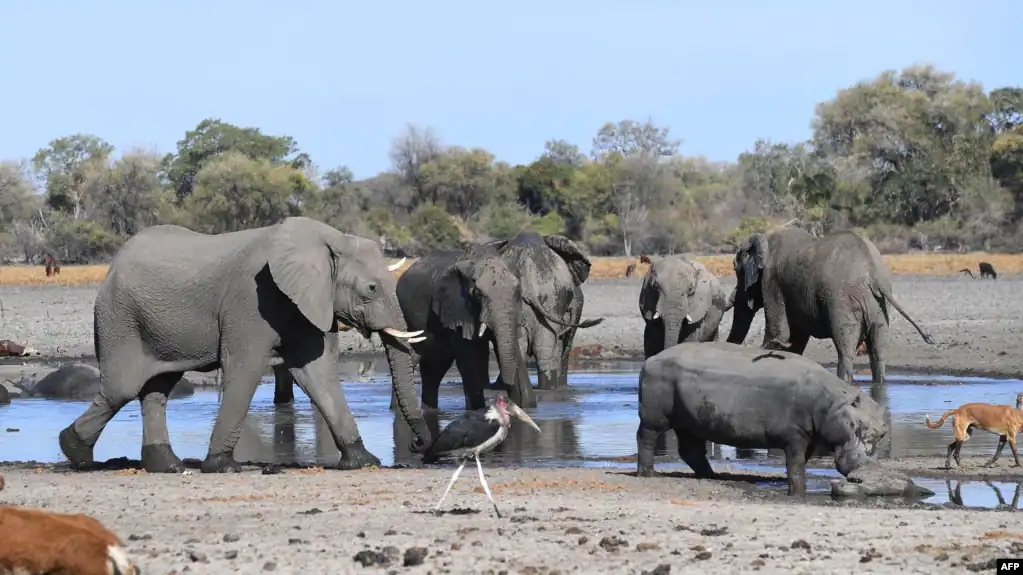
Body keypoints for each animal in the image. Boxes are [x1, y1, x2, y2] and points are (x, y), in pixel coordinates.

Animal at [390, 243, 536, 409]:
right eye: (478, 294)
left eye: (518, 291)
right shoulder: (456, 308)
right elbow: (470, 361)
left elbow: (513, 351)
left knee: (434, 369)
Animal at [728, 226, 937, 382]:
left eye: (735, 269)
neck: (766, 238)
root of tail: (874, 276)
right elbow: (796, 339)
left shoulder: (771, 282)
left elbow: (779, 334)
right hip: (880, 307)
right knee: (879, 351)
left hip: (842, 301)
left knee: (846, 349)